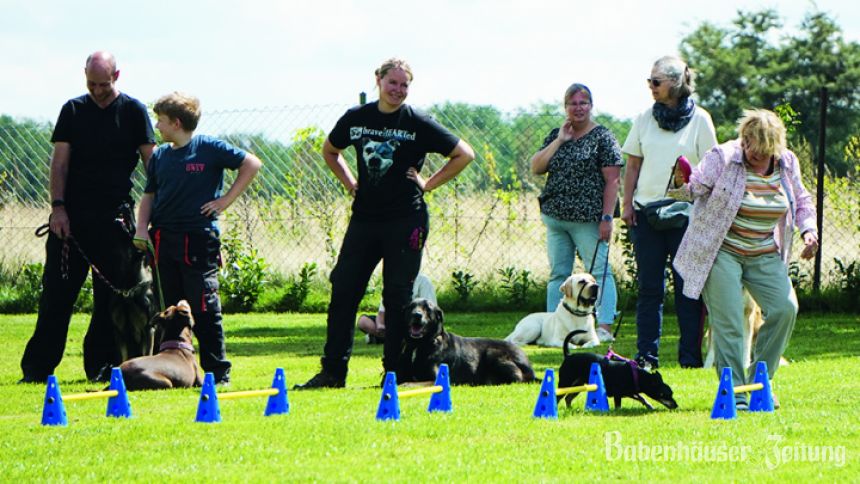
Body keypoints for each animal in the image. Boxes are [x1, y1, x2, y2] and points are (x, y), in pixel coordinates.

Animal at [400, 296, 536, 384]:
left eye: (428, 309)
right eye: (411, 307)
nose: (417, 315)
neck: (422, 343)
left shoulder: (435, 379)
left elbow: (409, 384)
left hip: (493, 352)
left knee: (517, 378)